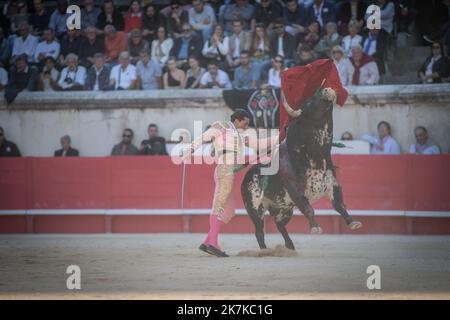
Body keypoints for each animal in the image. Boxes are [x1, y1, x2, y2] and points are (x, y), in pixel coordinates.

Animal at [239, 87, 362, 250]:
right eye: (309, 102)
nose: (327, 89)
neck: (316, 157)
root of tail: (247, 176)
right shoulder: (297, 193)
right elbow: (309, 209)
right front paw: (316, 228)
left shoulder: (333, 185)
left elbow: (339, 205)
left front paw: (353, 222)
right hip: (255, 207)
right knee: (259, 231)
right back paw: (265, 251)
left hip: (285, 208)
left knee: (279, 223)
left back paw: (290, 246)